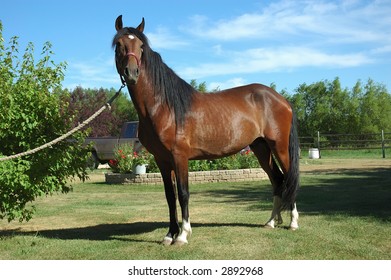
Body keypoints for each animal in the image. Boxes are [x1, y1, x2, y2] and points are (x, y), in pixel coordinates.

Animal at [112, 16, 300, 246]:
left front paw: (183, 235)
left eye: (141, 46)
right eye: (119, 45)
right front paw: (169, 234)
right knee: (278, 180)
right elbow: (170, 196)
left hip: (279, 147)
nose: (132, 73)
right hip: (261, 148)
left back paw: (293, 223)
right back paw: (271, 222)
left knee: (289, 178)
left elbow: (183, 193)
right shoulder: (162, 160)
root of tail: (282, 100)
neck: (163, 106)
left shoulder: (179, 157)